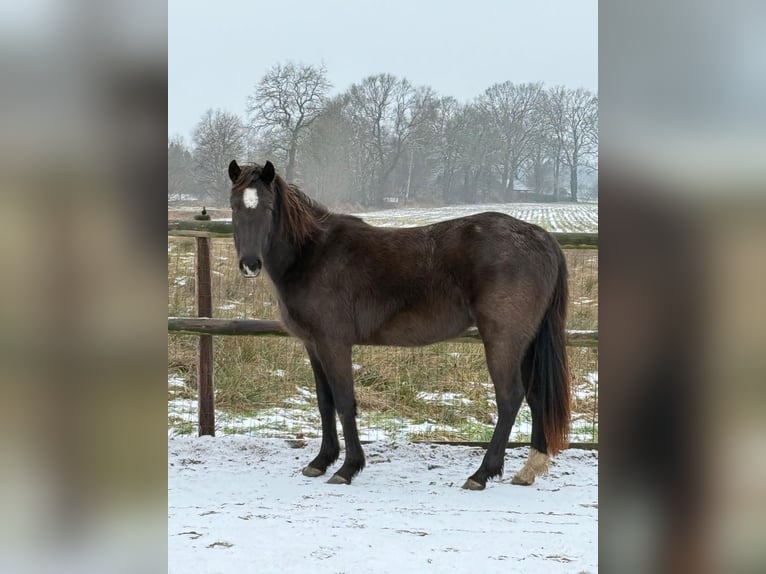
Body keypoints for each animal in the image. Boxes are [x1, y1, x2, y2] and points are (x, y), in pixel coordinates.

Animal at [228, 160, 571, 490]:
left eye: (268, 208)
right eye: (234, 206)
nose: (250, 264)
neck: (313, 253)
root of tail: (543, 238)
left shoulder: (333, 344)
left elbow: (344, 402)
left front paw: (348, 468)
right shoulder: (313, 345)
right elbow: (325, 403)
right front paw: (321, 461)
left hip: (503, 340)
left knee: (509, 398)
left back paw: (481, 474)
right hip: (526, 343)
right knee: (536, 395)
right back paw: (529, 469)